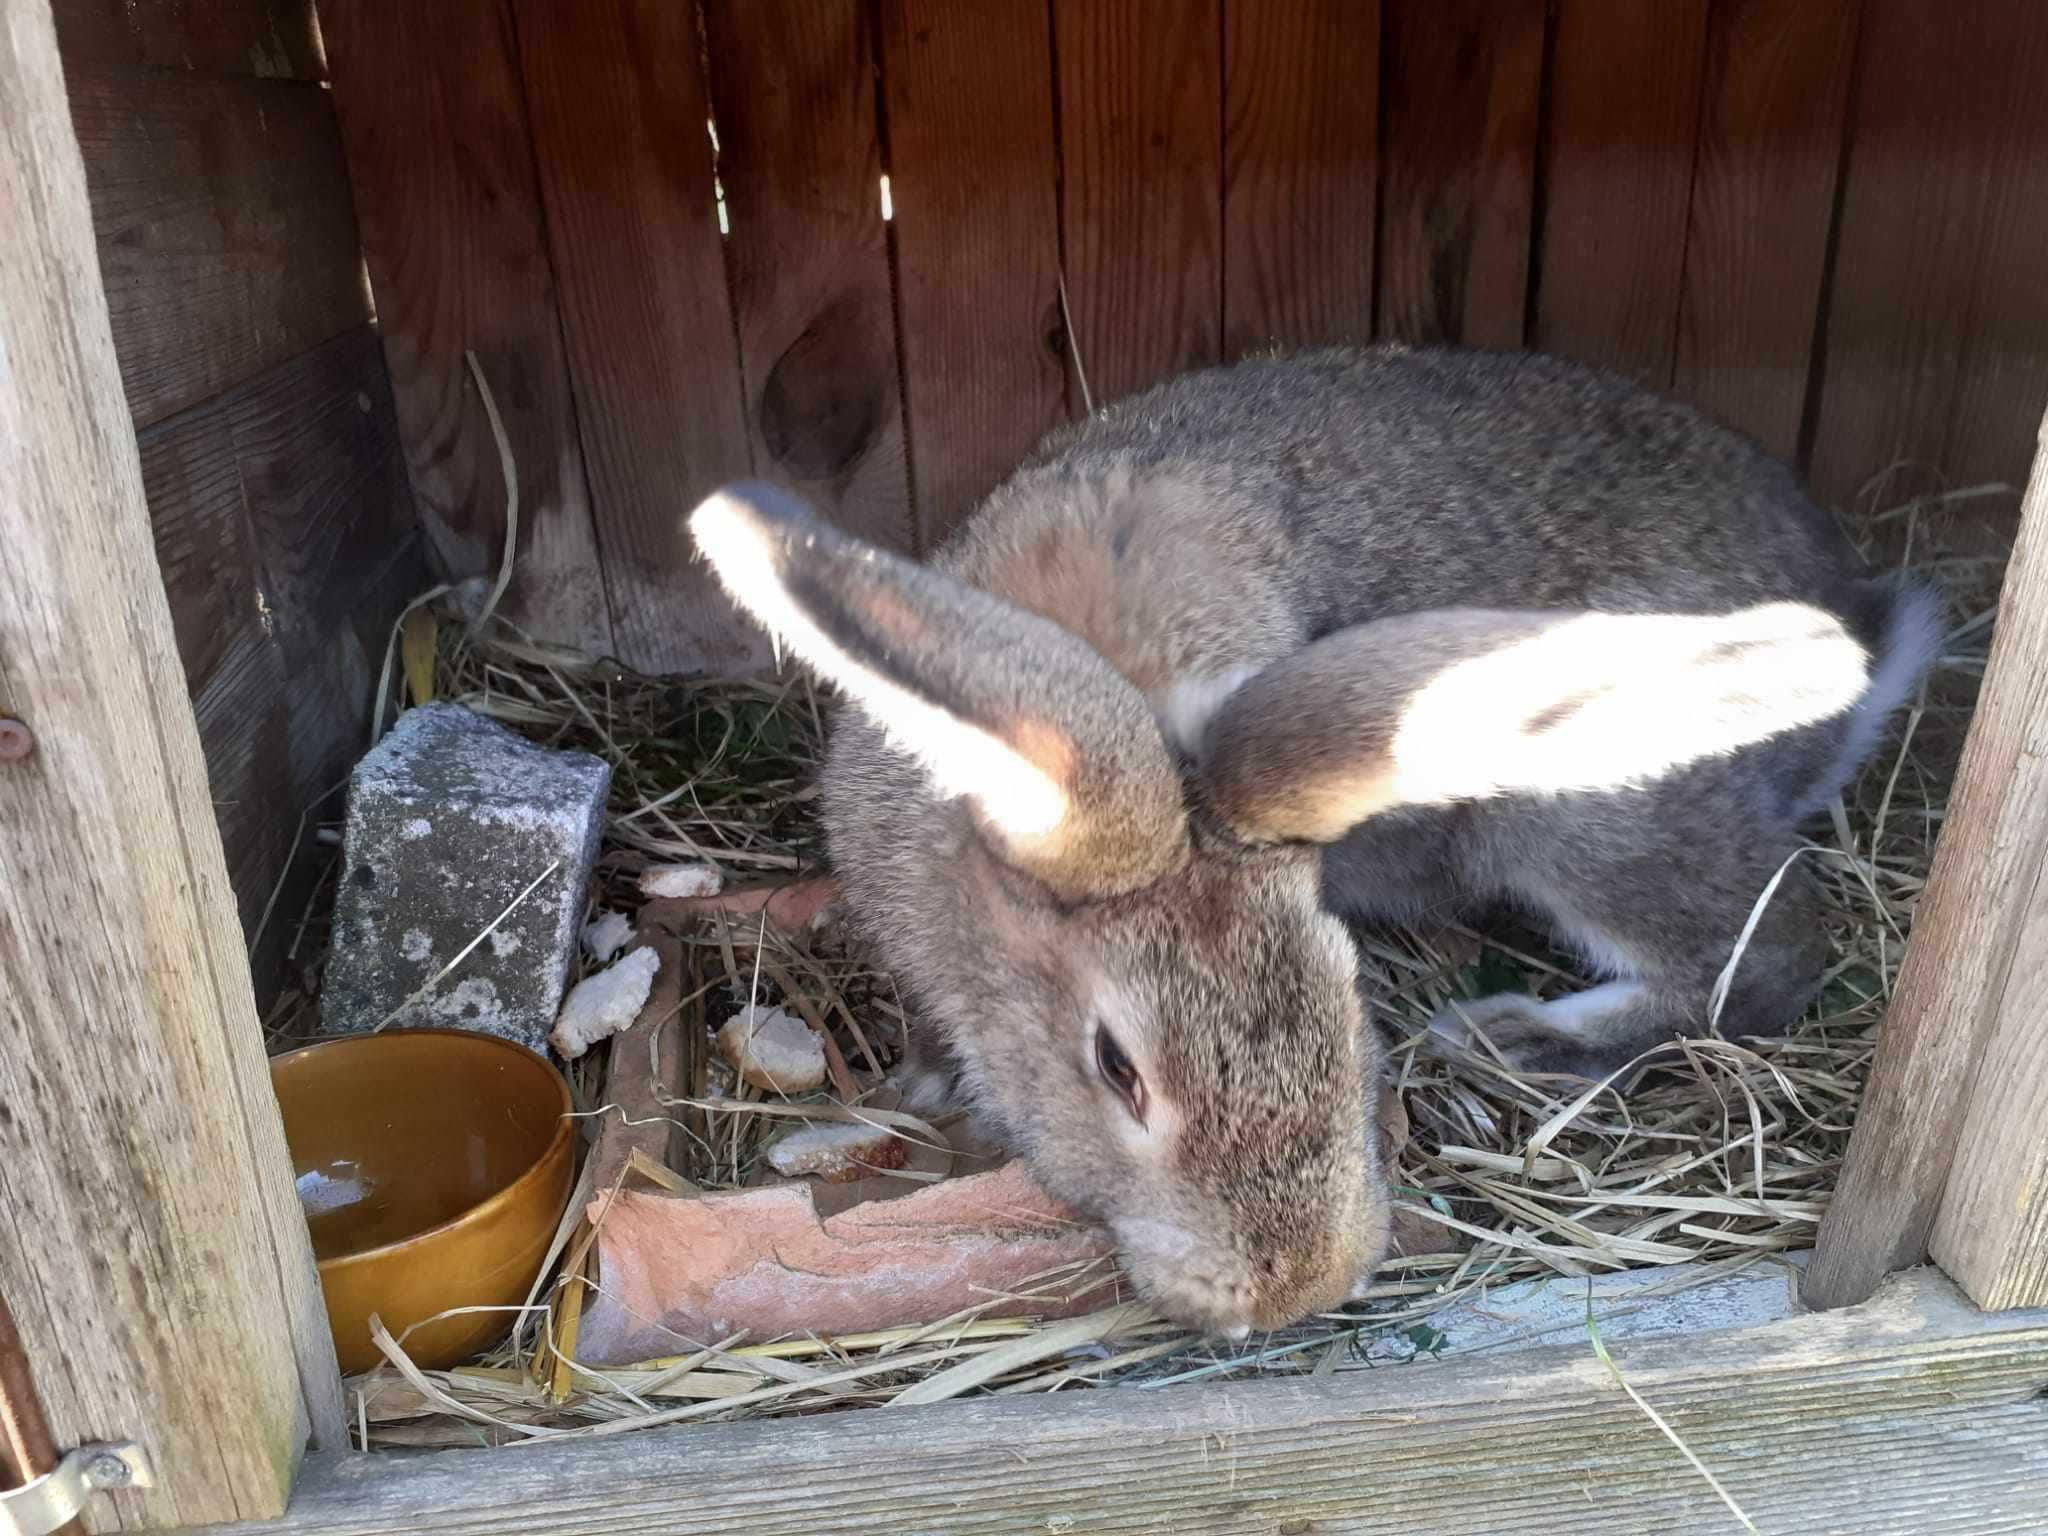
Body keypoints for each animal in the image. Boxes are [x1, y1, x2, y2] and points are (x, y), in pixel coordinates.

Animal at [684, 346, 1933, 1335]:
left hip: (1581, 814)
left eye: (1348, 990)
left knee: (1758, 961)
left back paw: (1512, 1036)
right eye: (1116, 1070)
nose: (1292, 1288)